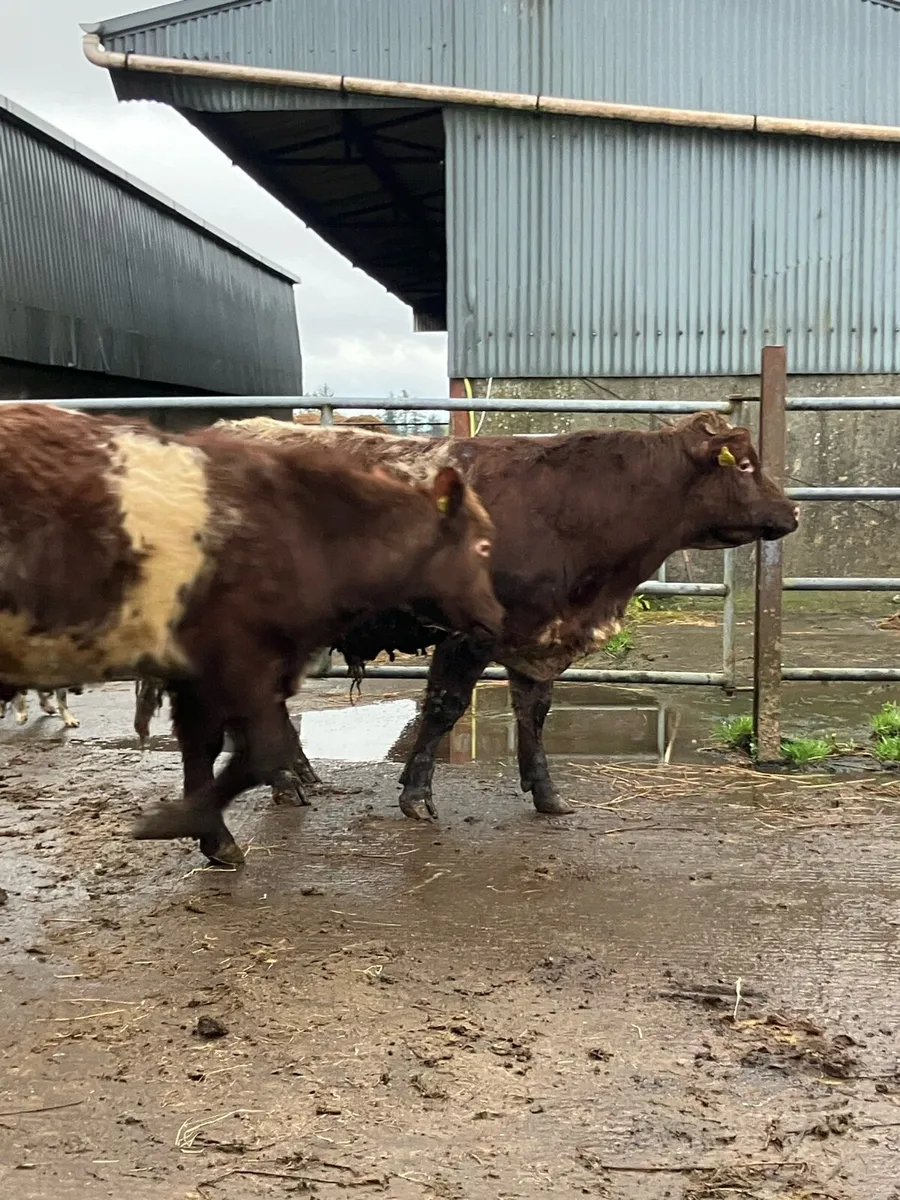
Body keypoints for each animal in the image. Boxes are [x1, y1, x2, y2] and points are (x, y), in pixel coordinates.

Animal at [197, 411, 799, 821]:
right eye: (746, 465)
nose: (792, 512)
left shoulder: (537, 633)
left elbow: (534, 712)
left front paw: (547, 794)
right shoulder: (471, 633)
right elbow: (444, 707)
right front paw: (416, 795)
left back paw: (300, 776)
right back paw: (287, 782)